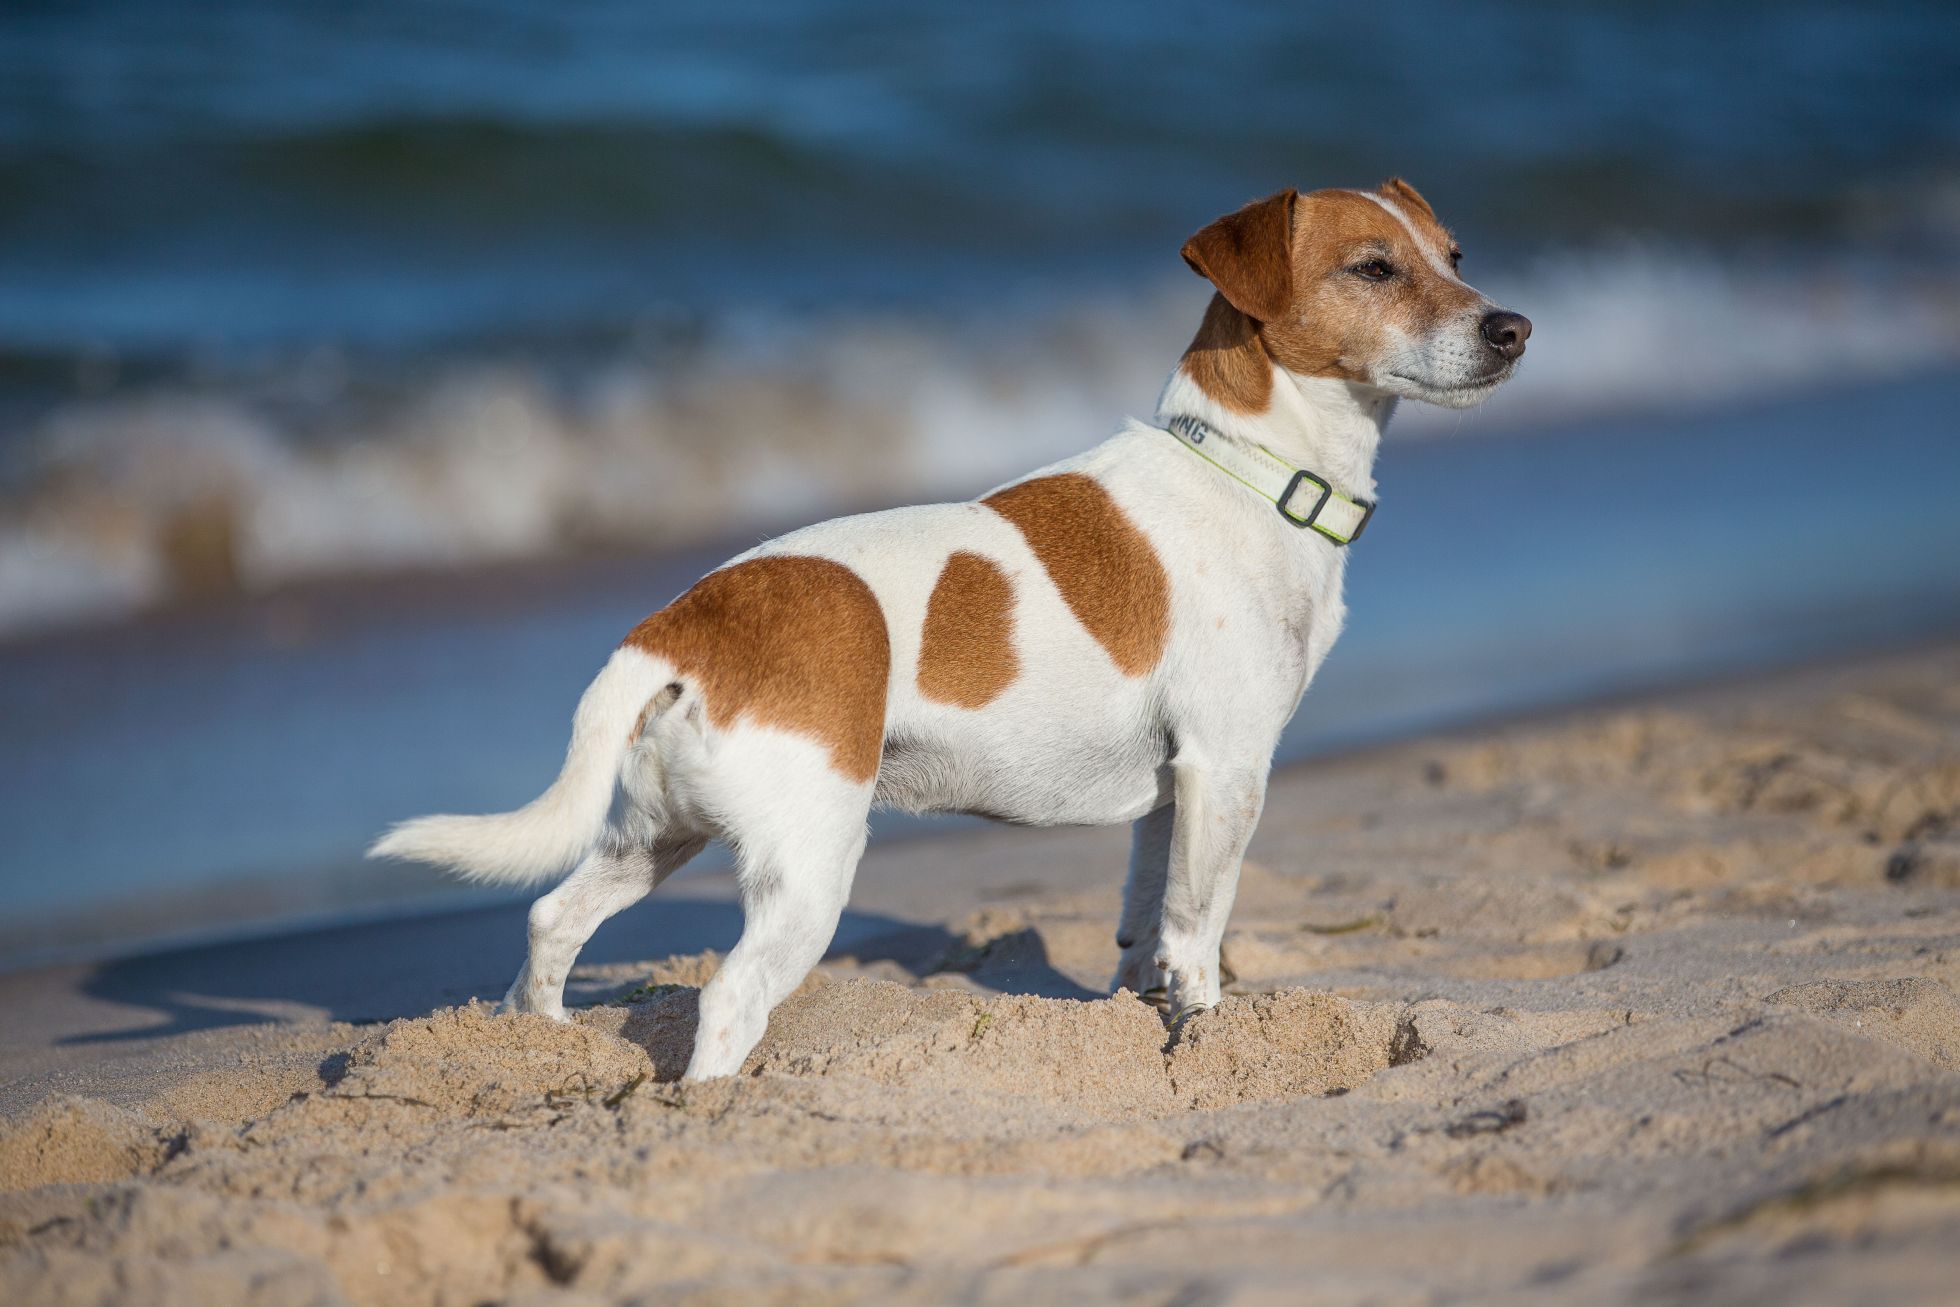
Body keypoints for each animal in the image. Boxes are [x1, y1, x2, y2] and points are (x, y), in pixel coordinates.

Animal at [370, 179, 1528, 1081]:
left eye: (1454, 256)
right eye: (1373, 267)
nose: (1511, 327)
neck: (1249, 468)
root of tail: (686, 620)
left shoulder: (1174, 792)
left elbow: (1142, 920)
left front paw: (1139, 1019)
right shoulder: (1228, 768)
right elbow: (1196, 929)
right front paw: (1204, 1035)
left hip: (656, 834)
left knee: (551, 921)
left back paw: (539, 1051)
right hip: (808, 867)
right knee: (726, 999)